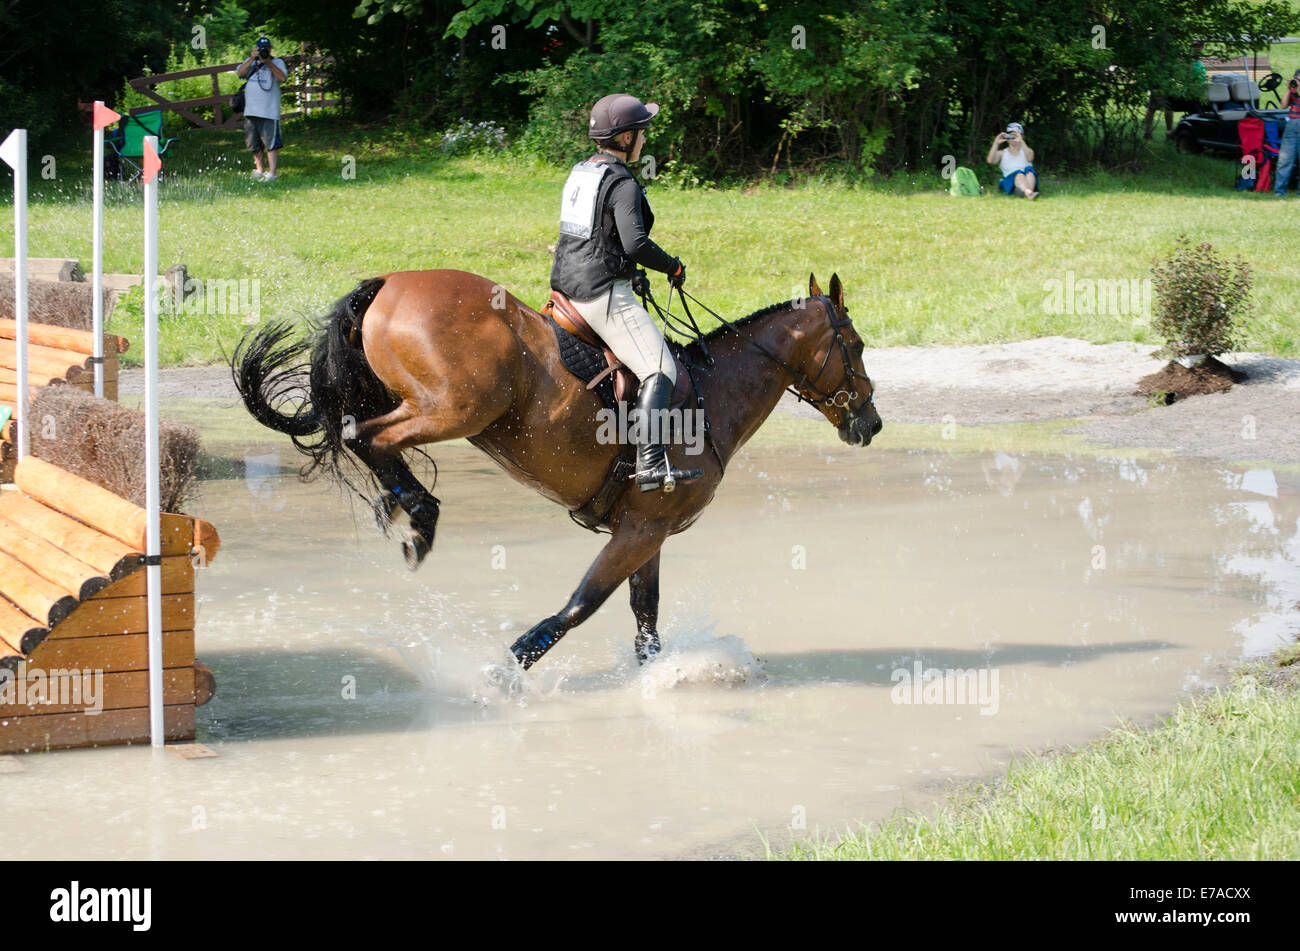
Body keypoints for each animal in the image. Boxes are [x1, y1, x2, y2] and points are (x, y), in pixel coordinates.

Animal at [232, 269, 882, 670]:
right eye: (857, 344)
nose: (871, 423)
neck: (713, 393)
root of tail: (391, 283)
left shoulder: (648, 528)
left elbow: (645, 614)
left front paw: (657, 677)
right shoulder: (641, 529)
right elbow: (582, 605)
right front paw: (507, 668)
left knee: (360, 436)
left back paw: (407, 511)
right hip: (455, 409)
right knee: (363, 436)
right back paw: (419, 514)